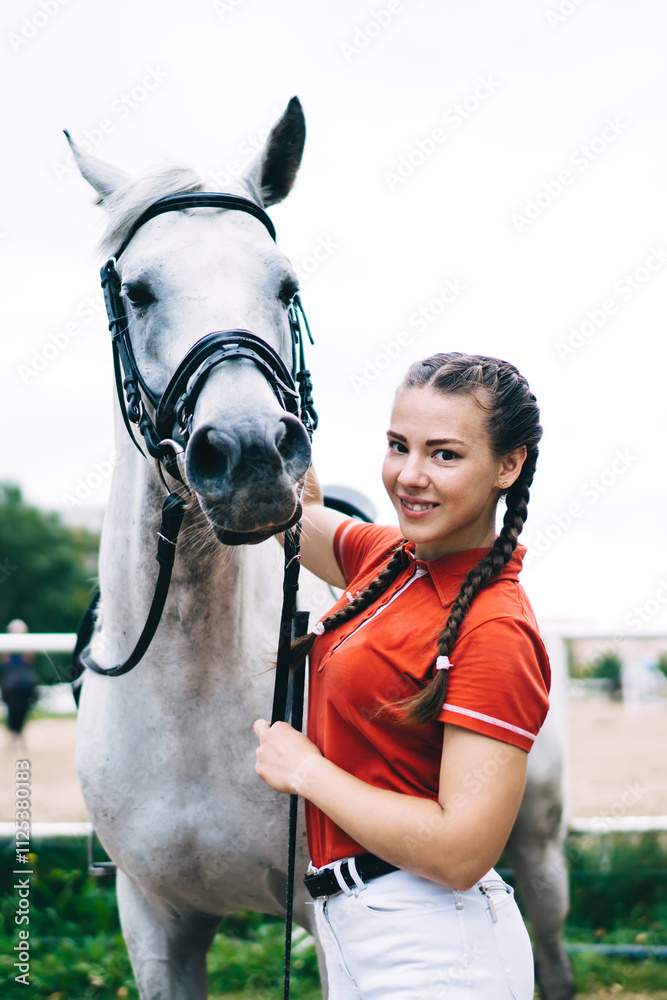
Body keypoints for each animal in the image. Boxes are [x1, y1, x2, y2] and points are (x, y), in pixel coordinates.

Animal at [68, 98, 574, 1000]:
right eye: (137, 290)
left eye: (286, 285)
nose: (248, 455)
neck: (190, 699)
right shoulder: (155, 921)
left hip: (540, 855)